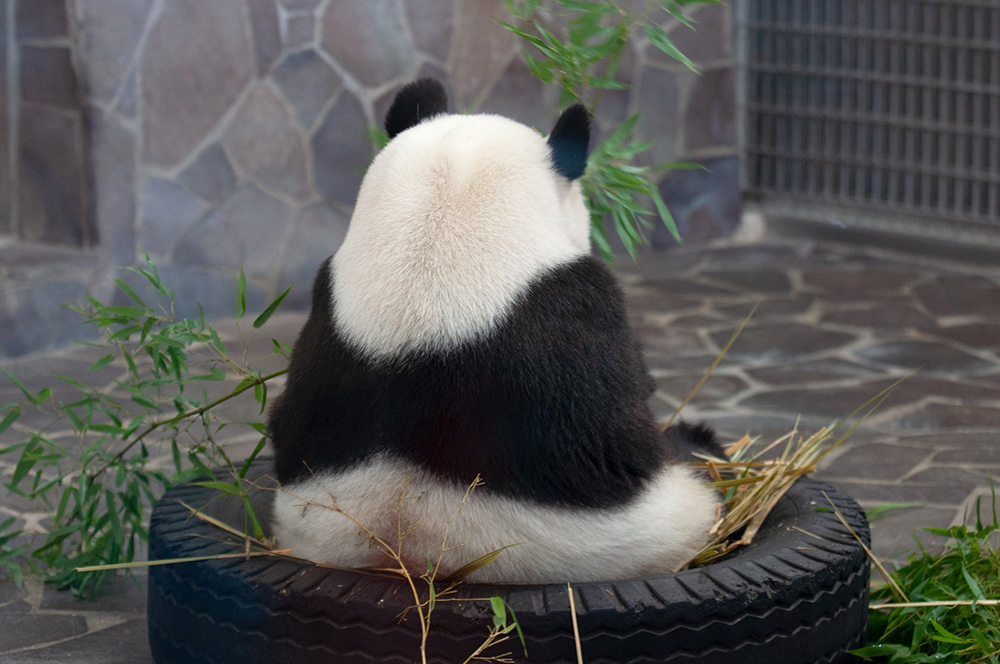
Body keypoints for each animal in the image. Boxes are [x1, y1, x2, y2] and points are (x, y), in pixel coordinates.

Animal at [268, 80, 720, 584]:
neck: (434, 237)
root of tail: (408, 556)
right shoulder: (580, 318)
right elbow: (622, 440)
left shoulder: (328, 302)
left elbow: (281, 418)